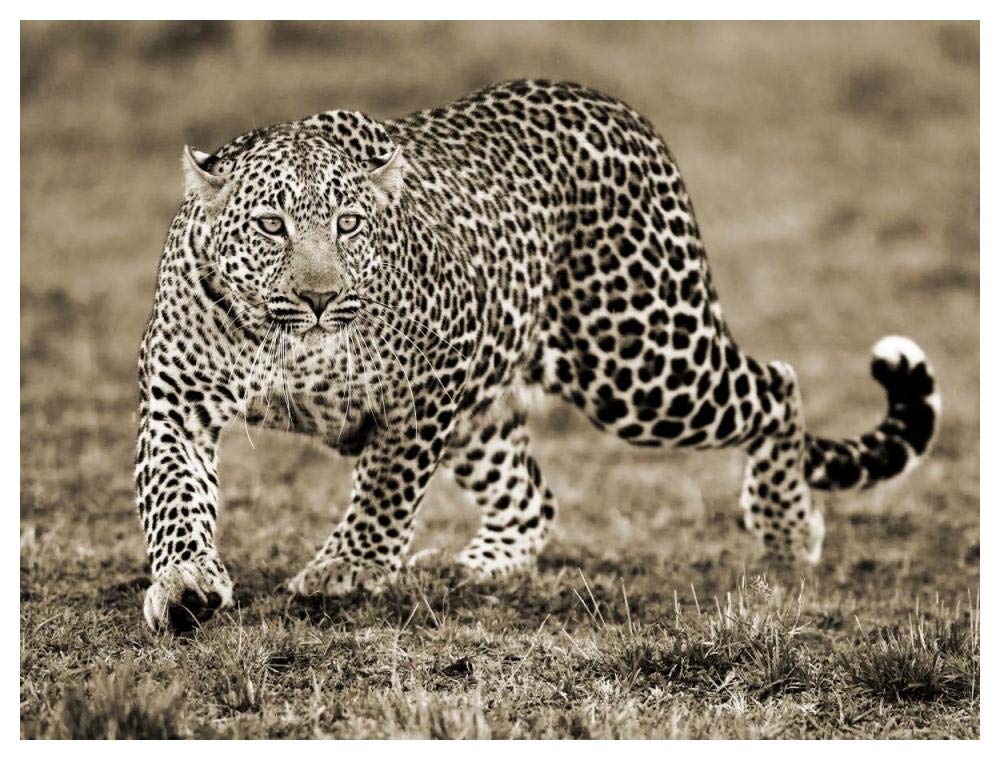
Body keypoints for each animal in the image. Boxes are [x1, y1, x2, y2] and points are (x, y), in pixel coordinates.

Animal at [136, 79, 940, 632]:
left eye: (350, 224)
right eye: (271, 225)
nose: (320, 298)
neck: (290, 345)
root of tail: (617, 108)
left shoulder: (432, 377)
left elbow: (387, 488)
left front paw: (346, 568)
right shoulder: (176, 398)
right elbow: (172, 496)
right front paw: (186, 584)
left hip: (643, 363)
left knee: (777, 385)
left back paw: (787, 531)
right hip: (497, 405)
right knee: (531, 496)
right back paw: (477, 568)